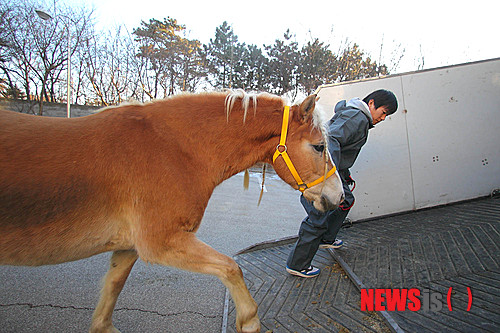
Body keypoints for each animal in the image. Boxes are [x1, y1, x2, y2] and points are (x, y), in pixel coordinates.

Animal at [0, 89, 344, 330]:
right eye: (319, 147)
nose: (340, 196)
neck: (173, 150)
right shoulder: (161, 243)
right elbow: (232, 268)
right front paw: (249, 322)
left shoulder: (129, 248)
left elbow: (109, 296)